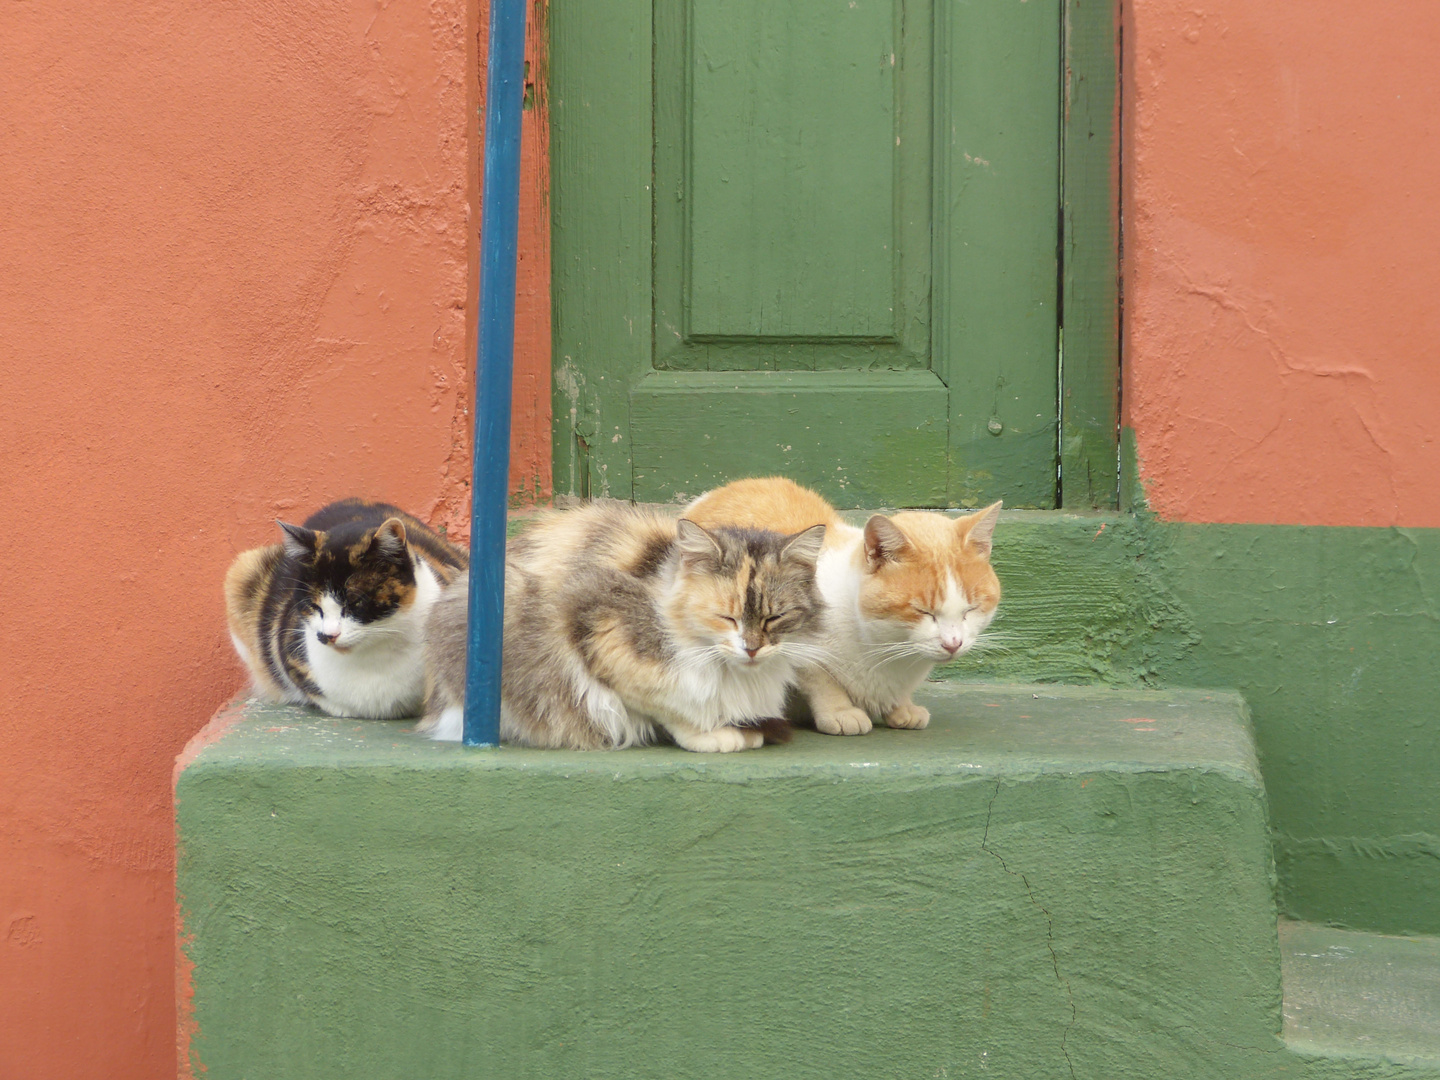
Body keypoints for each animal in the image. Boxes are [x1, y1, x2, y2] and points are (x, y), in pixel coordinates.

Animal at [417, 506, 823, 754]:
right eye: (727, 618)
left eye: (775, 618)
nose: (752, 649)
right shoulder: (600, 628)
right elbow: (669, 704)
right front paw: (714, 735)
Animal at [679, 480, 996, 737]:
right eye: (923, 611)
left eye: (971, 609)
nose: (953, 643)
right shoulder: (800, 648)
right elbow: (822, 682)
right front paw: (840, 711)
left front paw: (902, 707)